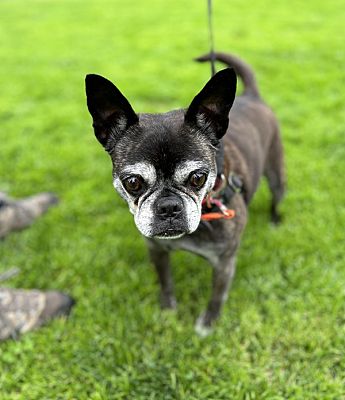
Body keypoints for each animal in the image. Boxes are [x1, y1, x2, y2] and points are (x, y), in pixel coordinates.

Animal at [84, 52, 284, 334]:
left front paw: (208, 324)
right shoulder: (157, 251)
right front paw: (168, 310)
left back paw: (275, 220)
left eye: (198, 178)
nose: (168, 206)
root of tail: (251, 96)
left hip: (277, 176)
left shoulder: (224, 263)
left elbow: (216, 296)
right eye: (132, 182)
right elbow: (165, 283)